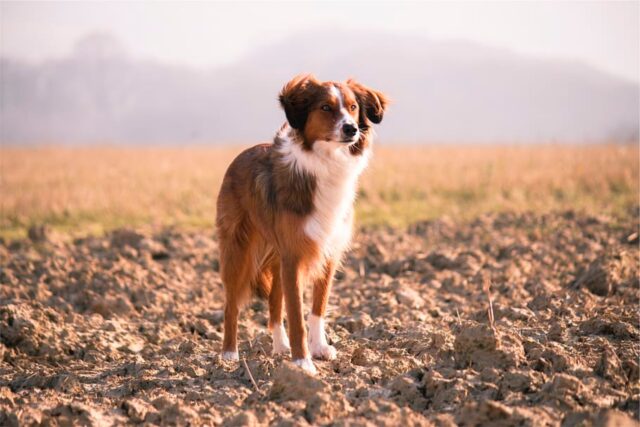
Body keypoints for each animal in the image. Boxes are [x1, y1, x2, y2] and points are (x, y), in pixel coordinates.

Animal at [216, 74, 384, 374]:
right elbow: (296, 314)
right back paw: (229, 354)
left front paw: (319, 349)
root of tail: (240, 156)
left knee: (274, 302)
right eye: (325, 108)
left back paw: (280, 346)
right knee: (231, 305)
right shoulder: (294, 256)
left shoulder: (327, 252)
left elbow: (317, 309)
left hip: (276, 256)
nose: (351, 129)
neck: (327, 161)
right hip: (238, 250)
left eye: (353, 107)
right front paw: (302, 362)